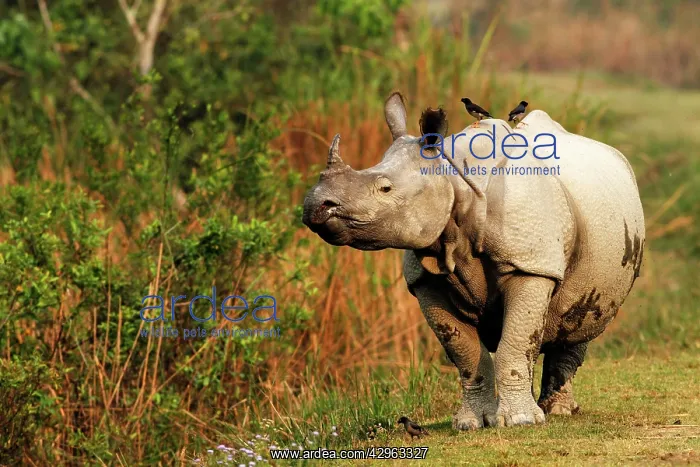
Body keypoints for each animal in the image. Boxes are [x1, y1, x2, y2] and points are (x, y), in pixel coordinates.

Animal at [301, 92, 645, 429]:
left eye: (385, 188)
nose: (315, 205)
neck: (454, 181)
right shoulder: (426, 278)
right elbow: (464, 351)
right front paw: (472, 423)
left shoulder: (530, 264)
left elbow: (514, 343)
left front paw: (520, 421)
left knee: (577, 324)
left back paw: (556, 412)